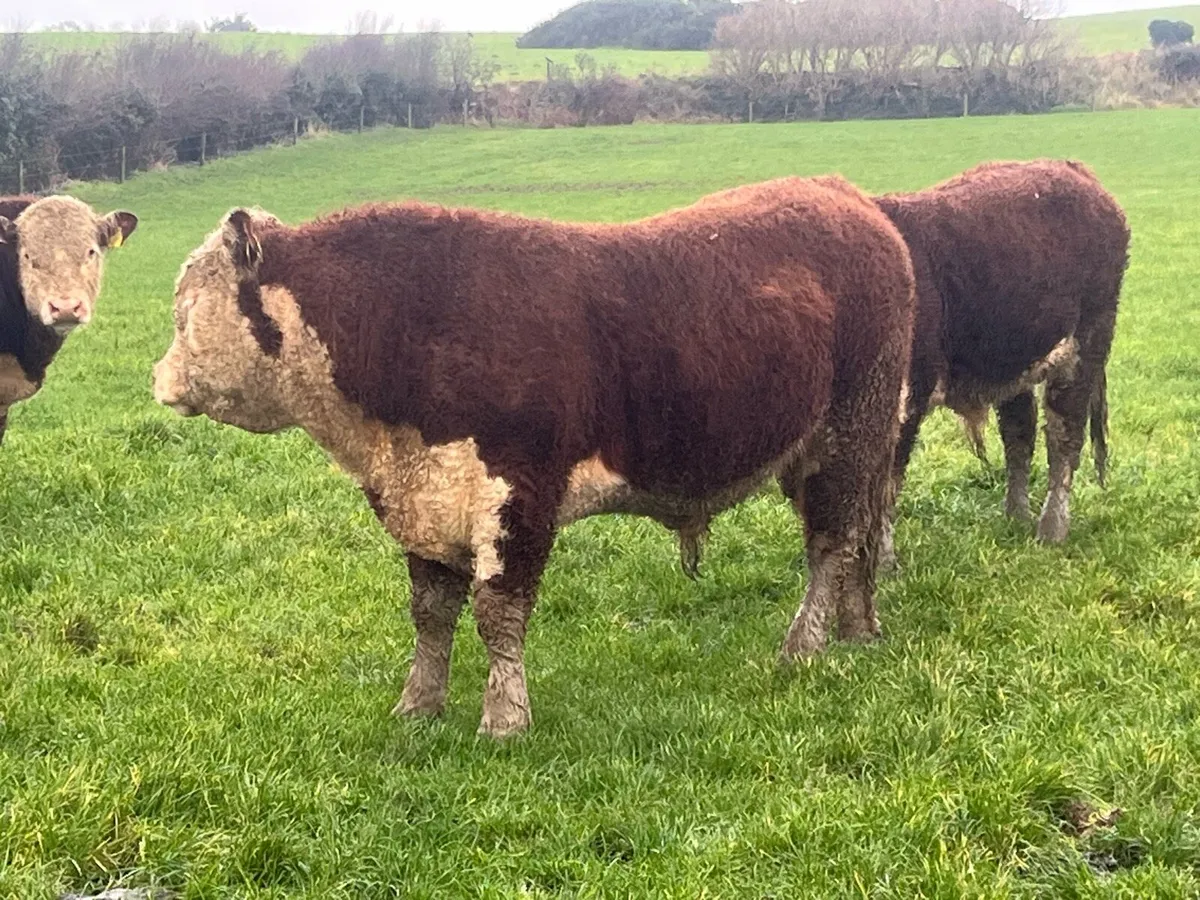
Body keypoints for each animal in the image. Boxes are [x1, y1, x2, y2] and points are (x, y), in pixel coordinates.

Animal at [152, 176, 916, 737]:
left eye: (183, 307)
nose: (158, 378)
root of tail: (843, 195)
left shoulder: (518, 495)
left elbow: (498, 611)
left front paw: (504, 719)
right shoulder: (429, 498)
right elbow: (431, 612)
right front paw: (418, 706)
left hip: (852, 434)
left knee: (833, 542)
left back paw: (804, 646)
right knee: (855, 541)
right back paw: (856, 630)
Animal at [873, 160, 1130, 550]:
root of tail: (1074, 169)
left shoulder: (906, 401)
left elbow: (883, 488)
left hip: (1086, 344)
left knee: (1064, 436)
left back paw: (1051, 530)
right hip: (1014, 362)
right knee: (1019, 433)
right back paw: (1016, 516)